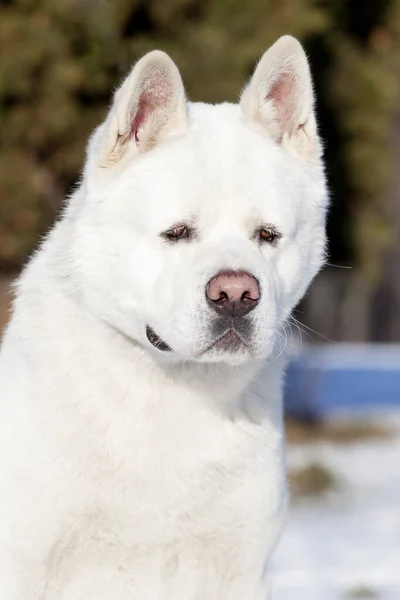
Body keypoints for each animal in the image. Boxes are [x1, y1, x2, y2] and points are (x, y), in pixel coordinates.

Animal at [0, 36, 326, 600]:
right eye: (177, 233)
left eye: (267, 235)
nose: (236, 294)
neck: (173, 390)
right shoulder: (23, 564)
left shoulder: (241, 570)